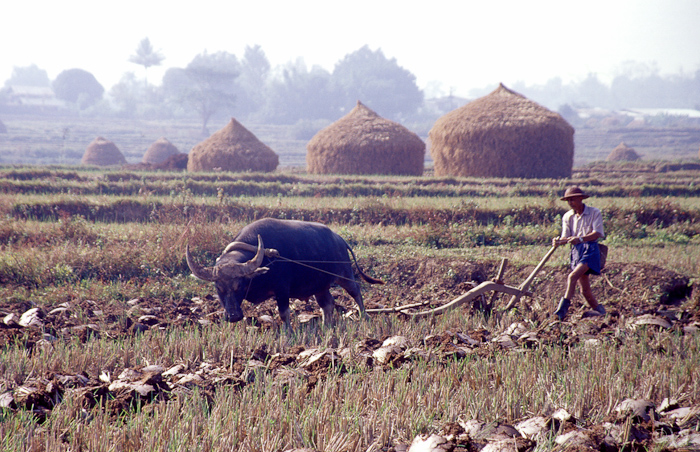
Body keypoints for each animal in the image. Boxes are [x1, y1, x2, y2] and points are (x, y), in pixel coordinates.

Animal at [186, 218, 382, 324]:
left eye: (240, 285)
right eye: (218, 288)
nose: (233, 316)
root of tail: (340, 239)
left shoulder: (282, 290)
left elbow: (284, 313)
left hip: (344, 274)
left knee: (356, 292)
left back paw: (364, 317)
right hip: (320, 286)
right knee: (327, 304)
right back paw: (326, 325)